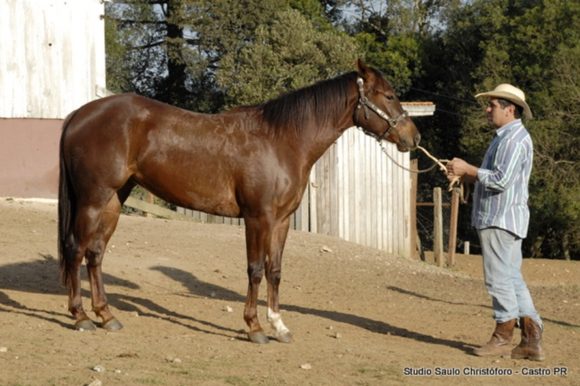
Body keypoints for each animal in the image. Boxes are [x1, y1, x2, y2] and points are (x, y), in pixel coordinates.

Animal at [59, 58, 420, 342]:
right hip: (93, 200)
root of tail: (80, 113)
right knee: (76, 250)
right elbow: (256, 270)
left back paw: (106, 316)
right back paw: (80, 317)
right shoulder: (258, 218)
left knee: (95, 253)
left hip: (113, 200)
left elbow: (275, 270)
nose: (413, 137)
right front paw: (255, 327)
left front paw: (279, 326)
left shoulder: (281, 221)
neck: (281, 141)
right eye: (389, 95)